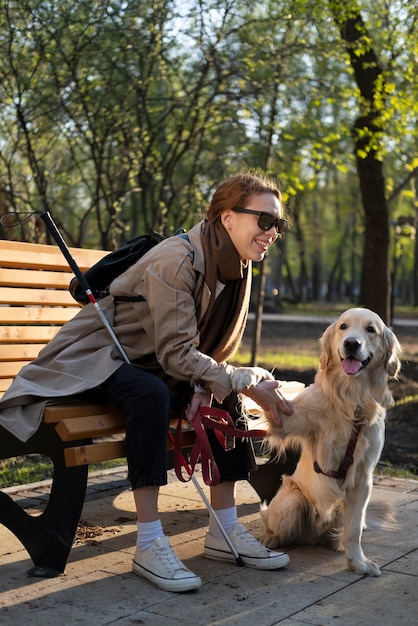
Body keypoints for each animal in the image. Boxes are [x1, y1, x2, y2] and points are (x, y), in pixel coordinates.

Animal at [232, 308, 402, 576]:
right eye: (343, 326)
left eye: (370, 329)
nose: (351, 343)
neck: (350, 399)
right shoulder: (284, 417)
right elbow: (269, 390)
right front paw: (244, 373)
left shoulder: (362, 479)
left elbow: (354, 531)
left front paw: (358, 563)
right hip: (292, 501)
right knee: (274, 525)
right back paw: (270, 540)